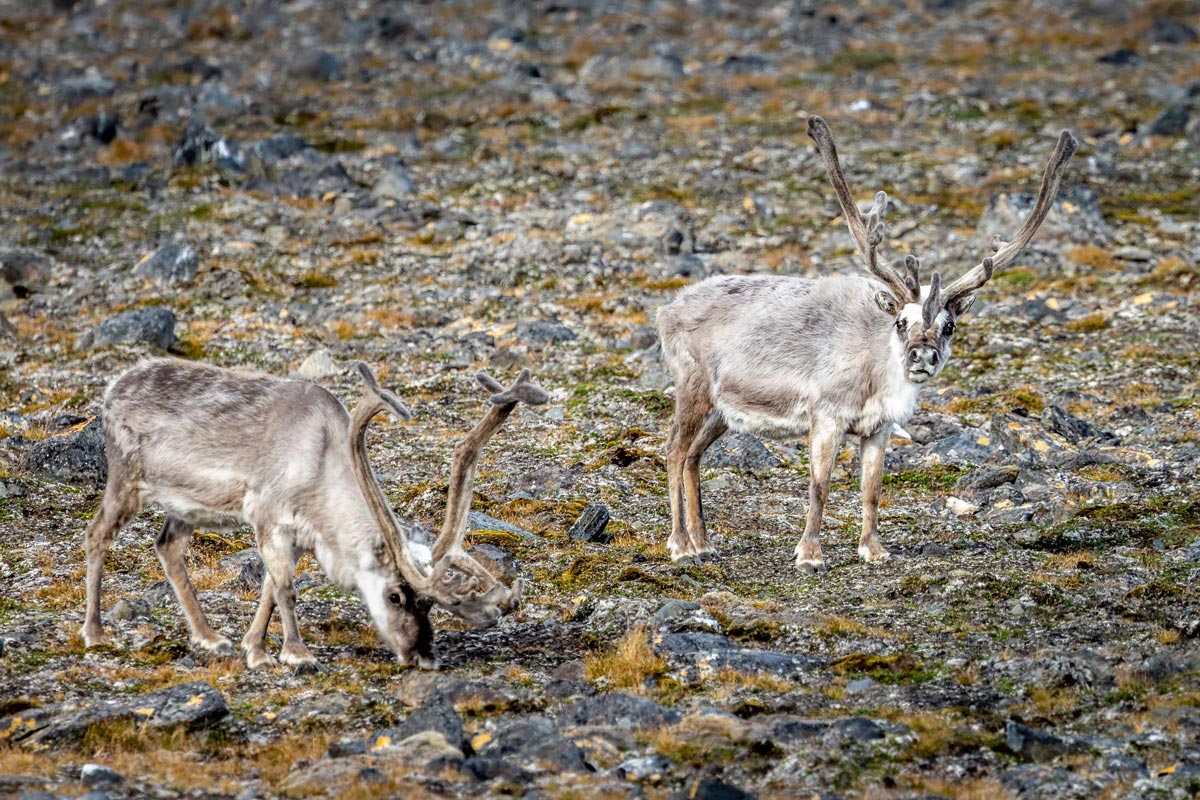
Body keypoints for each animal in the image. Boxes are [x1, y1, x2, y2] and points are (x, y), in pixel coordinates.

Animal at [80, 357, 547, 669]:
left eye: (431, 606)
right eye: (395, 596)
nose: (422, 657)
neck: (323, 466)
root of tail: (112, 387)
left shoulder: (303, 538)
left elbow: (269, 588)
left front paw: (253, 647)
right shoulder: (269, 519)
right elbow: (286, 589)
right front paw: (295, 653)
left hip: (188, 507)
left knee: (167, 546)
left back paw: (211, 638)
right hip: (127, 479)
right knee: (96, 535)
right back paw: (94, 631)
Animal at [657, 115, 1078, 572]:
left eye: (949, 325)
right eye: (900, 321)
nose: (923, 355)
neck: (877, 374)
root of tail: (667, 309)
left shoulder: (879, 427)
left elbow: (872, 489)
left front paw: (873, 549)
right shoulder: (826, 415)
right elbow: (819, 486)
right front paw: (810, 554)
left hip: (723, 410)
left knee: (694, 455)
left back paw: (703, 543)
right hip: (693, 386)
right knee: (674, 450)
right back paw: (680, 544)